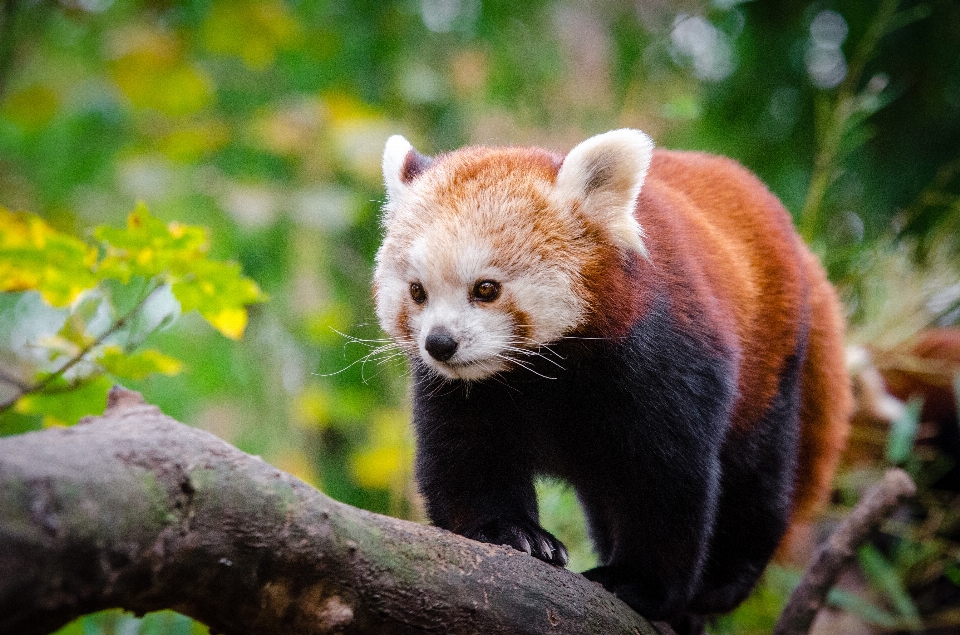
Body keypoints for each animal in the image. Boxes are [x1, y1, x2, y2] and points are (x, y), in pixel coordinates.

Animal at [372, 130, 852, 632]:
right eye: (417, 291)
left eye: (486, 288)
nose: (439, 343)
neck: (543, 371)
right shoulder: (465, 391)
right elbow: (467, 457)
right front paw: (512, 533)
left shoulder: (663, 360)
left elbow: (665, 477)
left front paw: (639, 584)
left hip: (770, 365)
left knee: (756, 475)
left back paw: (721, 583)